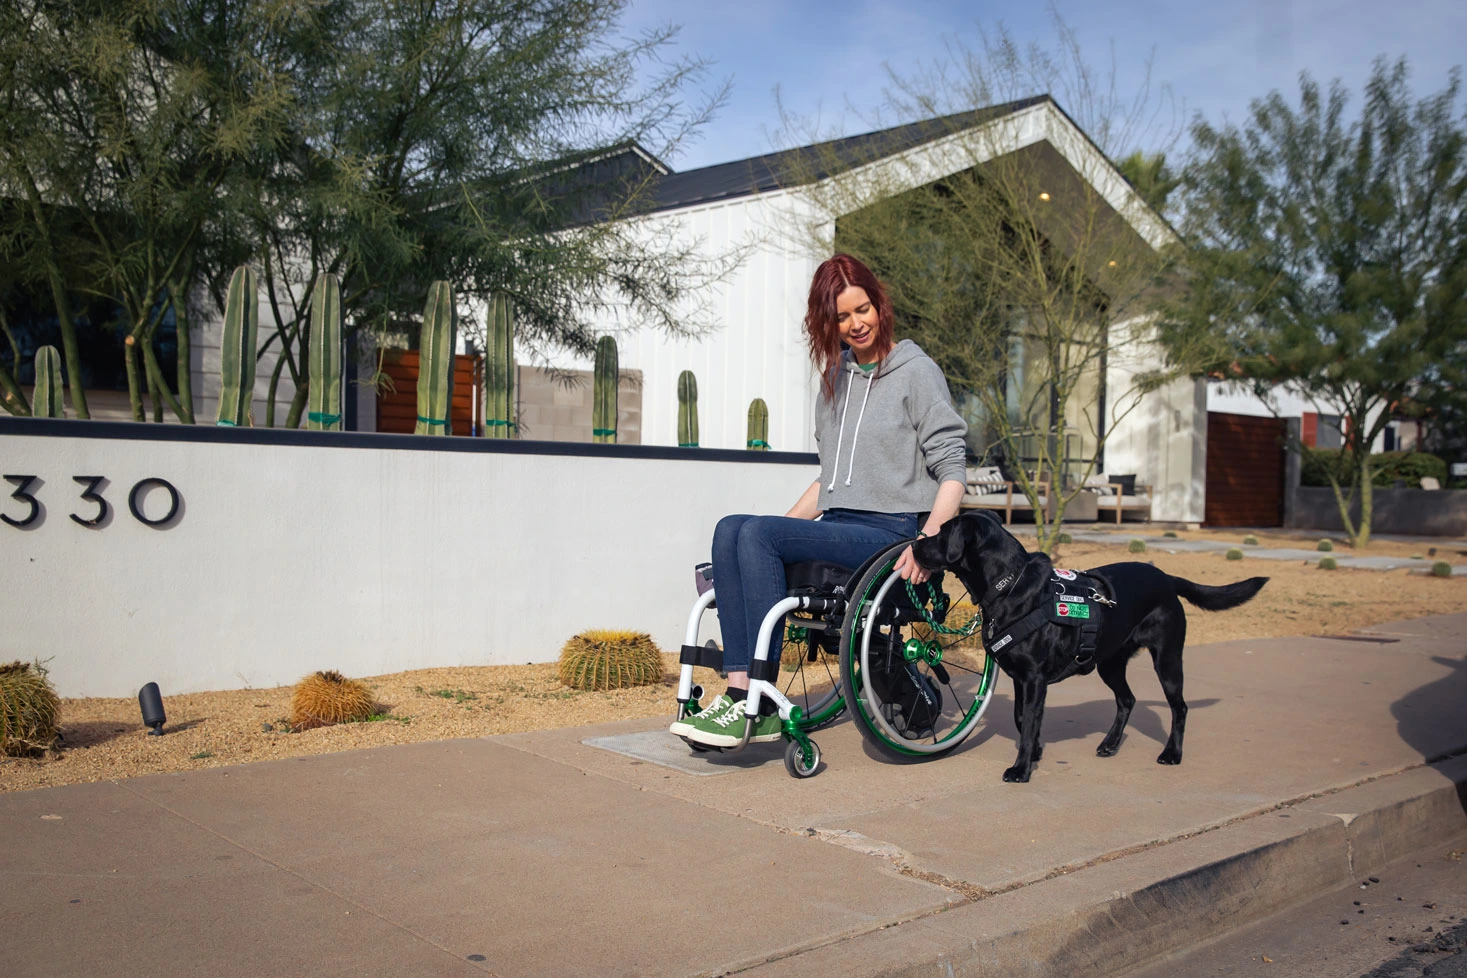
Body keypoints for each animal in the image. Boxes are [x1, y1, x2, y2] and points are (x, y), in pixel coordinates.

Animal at [909, 513, 1267, 780]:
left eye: (942, 533)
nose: (914, 543)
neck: (1009, 587)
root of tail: (1167, 577)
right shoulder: (1021, 679)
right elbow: (1022, 718)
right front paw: (1035, 752)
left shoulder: (1034, 679)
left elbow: (1028, 721)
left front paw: (1022, 768)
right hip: (1110, 662)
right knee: (1127, 699)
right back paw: (1110, 744)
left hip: (1167, 660)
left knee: (1179, 708)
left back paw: (1171, 753)